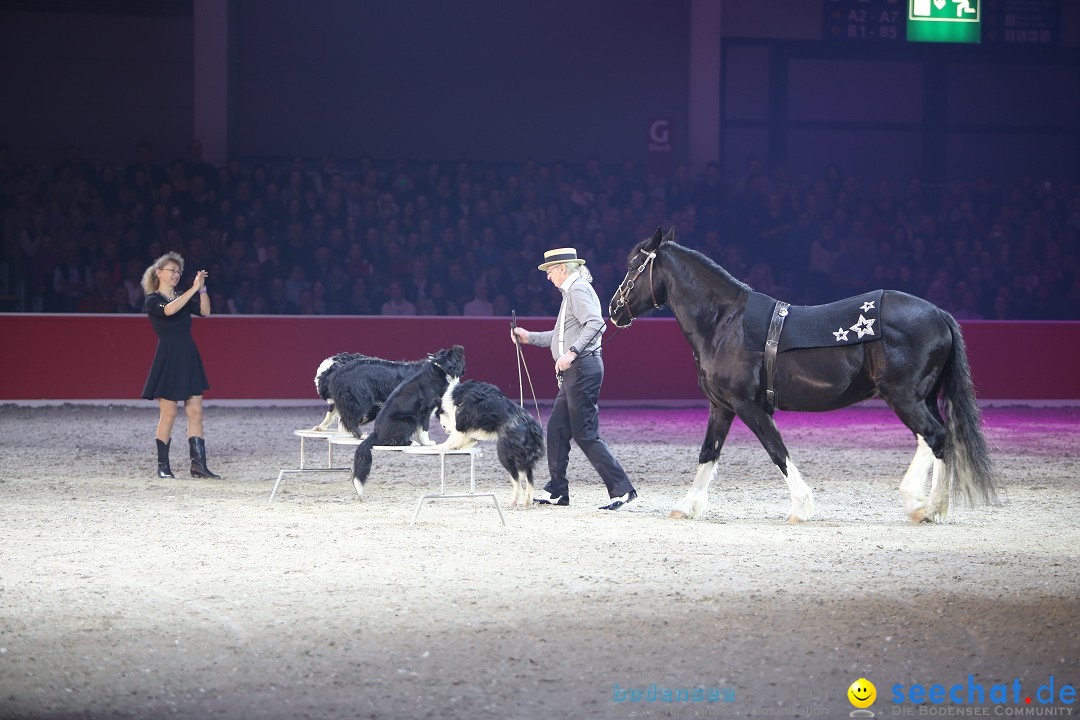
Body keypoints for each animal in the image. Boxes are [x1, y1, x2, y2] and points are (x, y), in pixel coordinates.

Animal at [347, 345, 462, 492]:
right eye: (453, 354)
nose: (459, 347)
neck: (440, 368)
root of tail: (375, 433)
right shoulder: (424, 411)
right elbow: (424, 429)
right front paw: (427, 443)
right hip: (408, 421)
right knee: (392, 441)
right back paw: (412, 443)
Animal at [434, 379, 544, 509]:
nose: (443, 427)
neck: (454, 396)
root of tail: (532, 428)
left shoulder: (461, 421)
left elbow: (454, 436)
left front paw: (441, 446)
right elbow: (465, 439)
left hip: (504, 454)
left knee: (517, 480)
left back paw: (512, 502)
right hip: (523, 460)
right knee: (529, 479)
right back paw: (527, 502)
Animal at [613, 229, 997, 524]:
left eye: (633, 266)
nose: (615, 309)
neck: (724, 323)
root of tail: (938, 313)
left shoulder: (749, 407)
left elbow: (776, 450)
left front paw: (801, 507)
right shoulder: (721, 406)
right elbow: (709, 452)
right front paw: (686, 506)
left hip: (904, 397)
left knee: (933, 436)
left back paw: (918, 504)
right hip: (922, 397)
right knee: (940, 440)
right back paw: (935, 508)